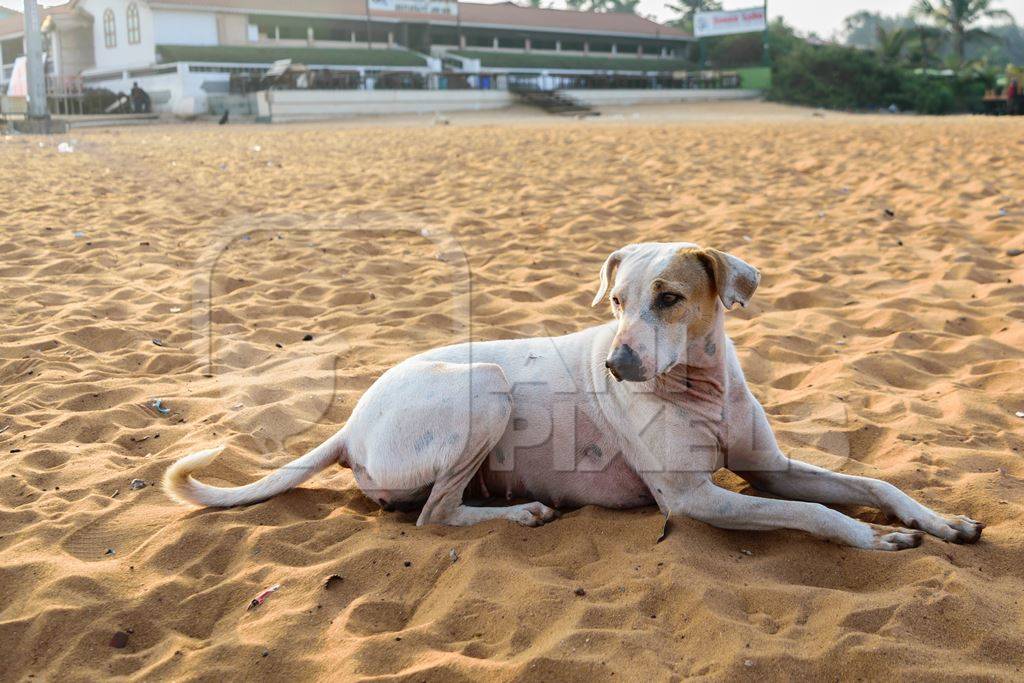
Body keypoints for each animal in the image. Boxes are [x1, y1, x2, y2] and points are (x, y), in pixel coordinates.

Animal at [167, 242, 983, 552]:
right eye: (616, 301)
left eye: (669, 298)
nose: (617, 364)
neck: (700, 389)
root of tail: (350, 424)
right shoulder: (694, 498)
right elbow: (814, 513)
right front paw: (871, 540)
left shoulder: (768, 468)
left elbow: (869, 481)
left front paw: (937, 520)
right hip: (485, 389)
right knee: (433, 517)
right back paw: (521, 512)